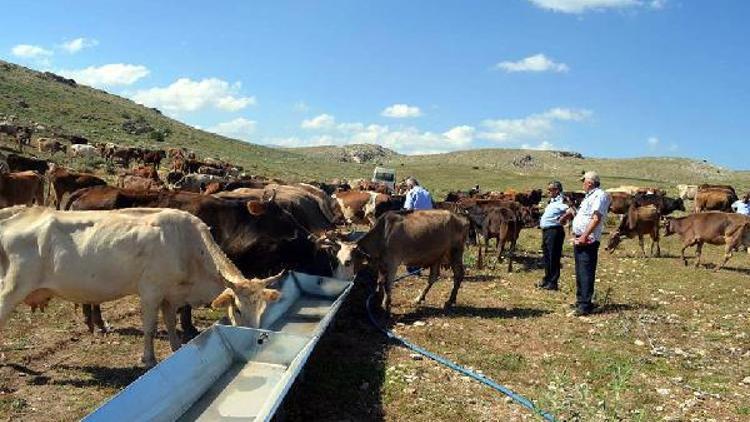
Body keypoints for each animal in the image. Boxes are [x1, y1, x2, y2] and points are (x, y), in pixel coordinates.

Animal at [0, 206, 280, 368]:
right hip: (11, 289)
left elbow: (171, 324)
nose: (255, 336)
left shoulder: (170, 296)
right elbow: (150, 328)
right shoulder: (150, 291)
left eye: (262, 310)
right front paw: (148, 359)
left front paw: (176, 349)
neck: (188, 247)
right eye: (239, 309)